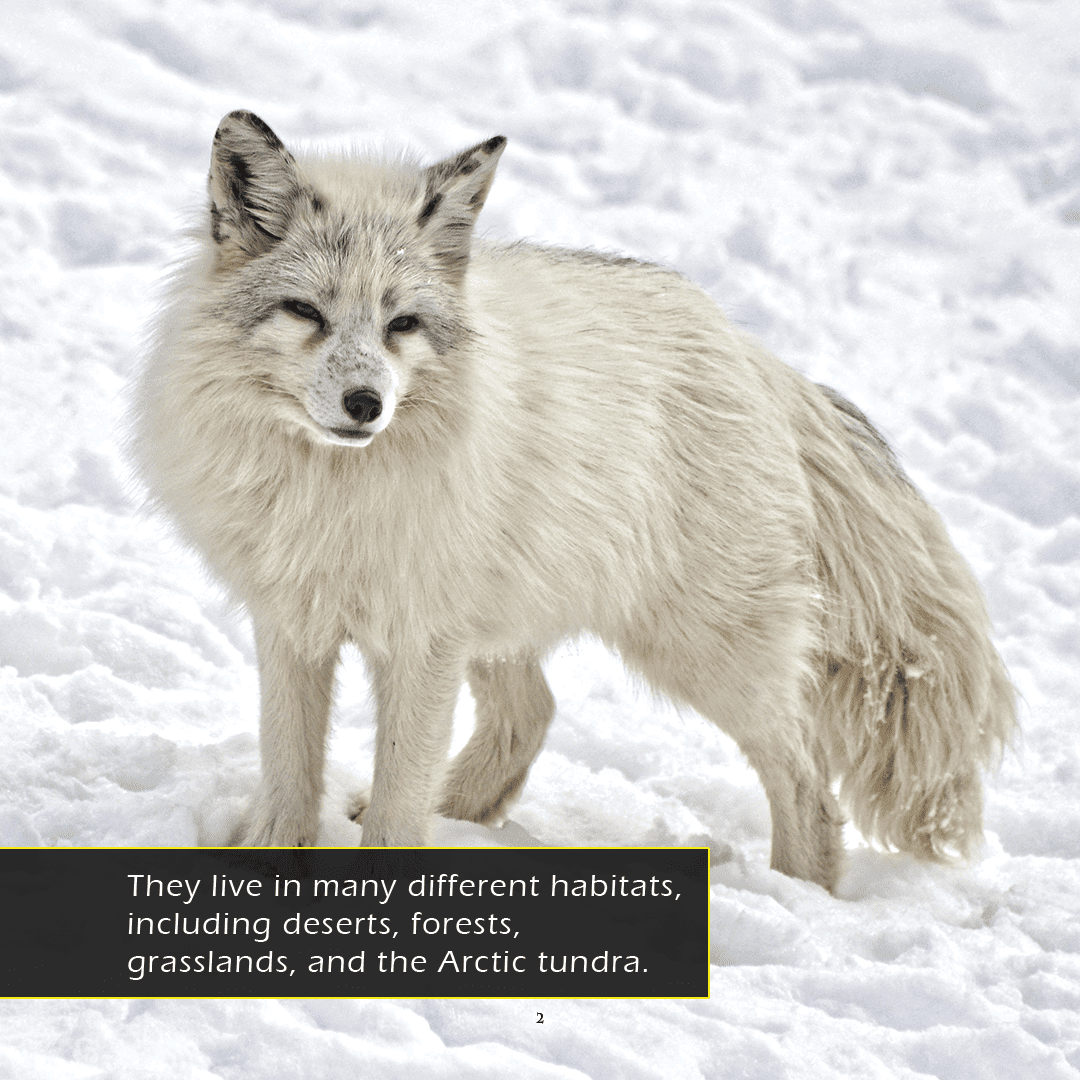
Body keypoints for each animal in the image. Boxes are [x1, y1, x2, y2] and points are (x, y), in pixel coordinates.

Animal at [131, 110, 1015, 892]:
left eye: (401, 325)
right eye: (306, 313)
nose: (365, 405)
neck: (332, 494)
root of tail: (749, 351)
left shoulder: (419, 642)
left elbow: (396, 808)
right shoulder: (294, 623)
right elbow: (290, 774)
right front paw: (266, 870)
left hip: (703, 652)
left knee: (809, 790)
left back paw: (799, 900)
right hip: (508, 626)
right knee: (533, 714)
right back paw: (462, 815)